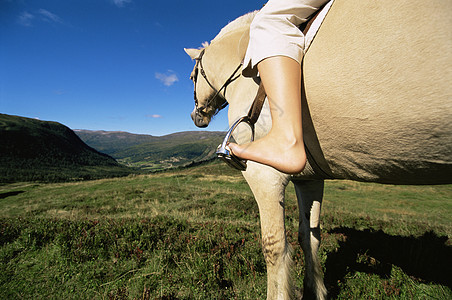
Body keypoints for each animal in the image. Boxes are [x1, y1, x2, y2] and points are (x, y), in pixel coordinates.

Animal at [185, 1, 452, 298]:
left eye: (192, 76)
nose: (196, 116)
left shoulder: (263, 175)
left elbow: (274, 247)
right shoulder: (309, 180)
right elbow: (309, 237)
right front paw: (316, 290)